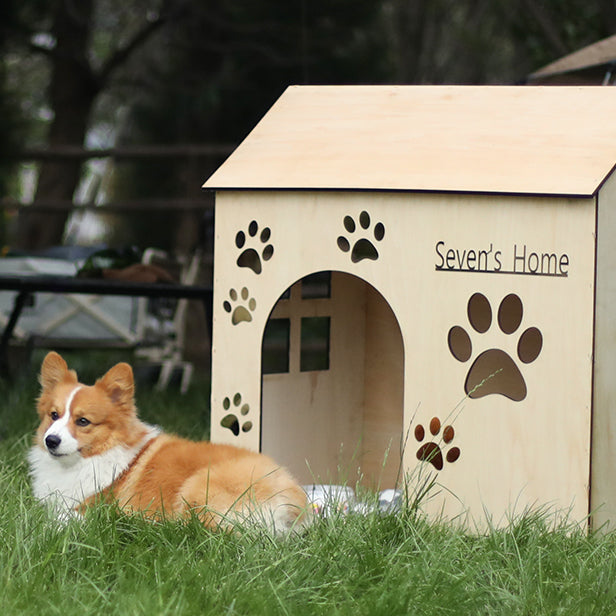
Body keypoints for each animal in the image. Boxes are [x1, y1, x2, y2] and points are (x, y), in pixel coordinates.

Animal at [29, 352, 308, 533]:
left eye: (83, 421)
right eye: (54, 415)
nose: (51, 441)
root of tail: (293, 505)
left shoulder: (92, 505)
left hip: (197, 487)